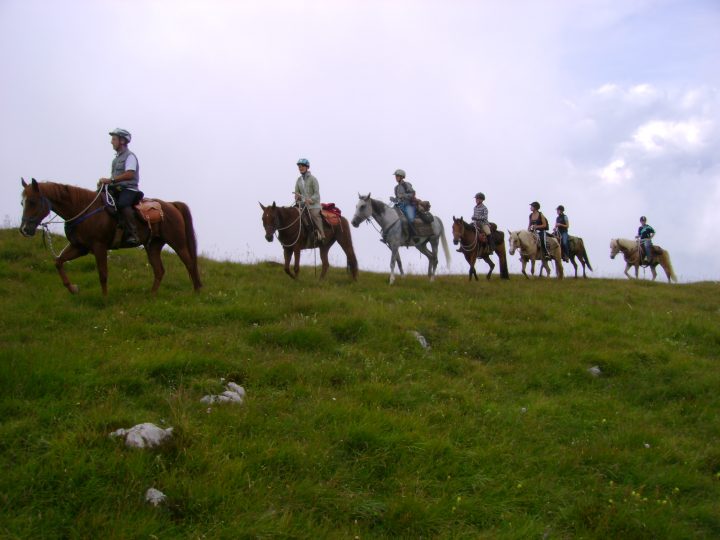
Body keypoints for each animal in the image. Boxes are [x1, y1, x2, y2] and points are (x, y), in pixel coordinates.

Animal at [20, 178, 200, 296]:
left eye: (33, 201)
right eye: (22, 202)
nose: (24, 229)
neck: (83, 209)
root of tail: (171, 204)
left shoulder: (99, 246)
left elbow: (103, 273)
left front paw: (105, 300)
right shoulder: (80, 247)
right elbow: (58, 262)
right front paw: (73, 288)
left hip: (177, 242)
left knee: (189, 263)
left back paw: (197, 291)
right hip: (153, 246)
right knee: (159, 270)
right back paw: (151, 295)